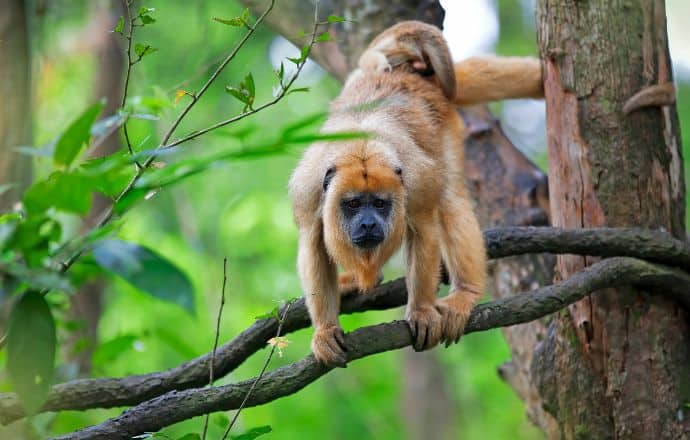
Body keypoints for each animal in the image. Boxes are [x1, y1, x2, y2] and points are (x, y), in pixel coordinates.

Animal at [288, 18, 540, 366]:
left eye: (380, 204)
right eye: (352, 204)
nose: (368, 223)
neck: (361, 148)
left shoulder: (418, 181)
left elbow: (424, 228)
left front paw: (420, 311)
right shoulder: (307, 190)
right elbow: (312, 244)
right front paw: (325, 330)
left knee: (450, 200)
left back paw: (465, 293)